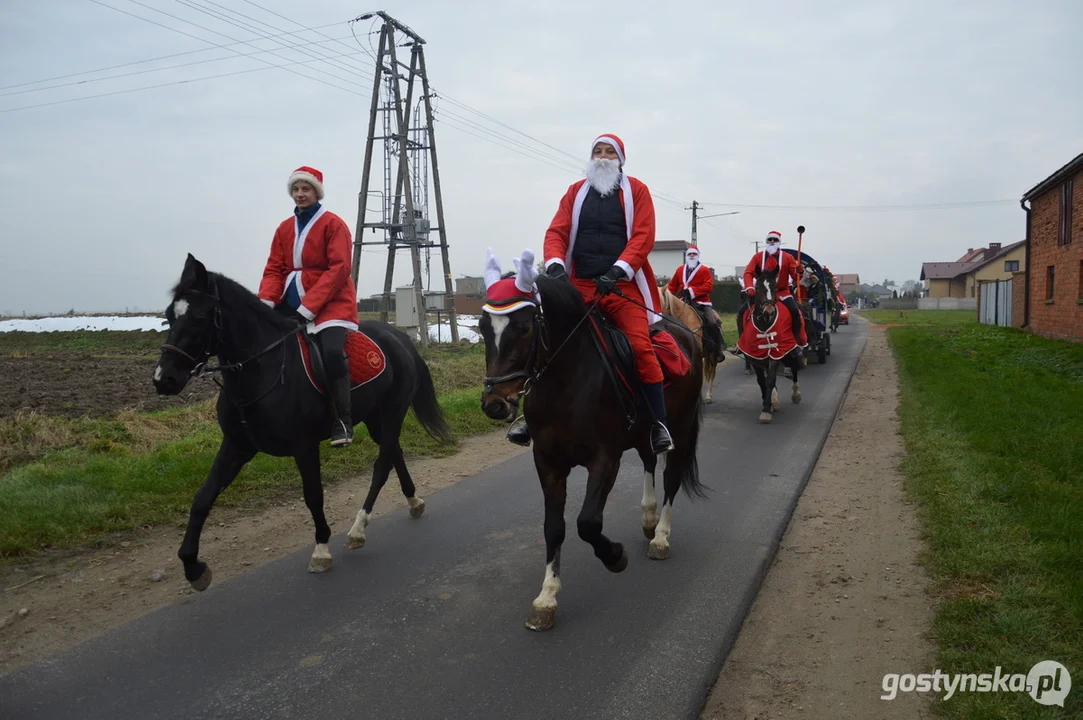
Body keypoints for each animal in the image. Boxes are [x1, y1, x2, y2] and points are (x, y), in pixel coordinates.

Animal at [151, 252, 448, 588]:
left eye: (200, 318)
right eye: (169, 316)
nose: (163, 380)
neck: (261, 370)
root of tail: (400, 338)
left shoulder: (304, 446)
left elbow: (313, 495)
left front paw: (321, 549)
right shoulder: (236, 446)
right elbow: (202, 498)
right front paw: (192, 566)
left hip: (392, 411)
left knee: (382, 464)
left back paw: (359, 528)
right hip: (376, 420)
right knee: (394, 451)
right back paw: (413, 501)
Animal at [483, 266, 710, 632]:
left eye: (523, 327)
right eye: (482, 327)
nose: (494, 404)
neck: (565, 383)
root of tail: (685, 333)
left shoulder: (604, 460)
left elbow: (587, 523)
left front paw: (615, 556)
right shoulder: (547, 462)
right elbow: (554, 527)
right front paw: (546, 598)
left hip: (681, 428)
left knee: (672, 478)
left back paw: (660, 536)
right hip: (642, 432)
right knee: (649, 460)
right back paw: (648, 518)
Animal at [736, 266, 805, 424]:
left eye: (775, 287)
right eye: (757, 287)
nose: (769, 311)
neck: (765, 324)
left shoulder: (776, 354)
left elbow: (770, 379)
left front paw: (767, 409)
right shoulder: (756, 357)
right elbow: (762, 380)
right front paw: (768, 403)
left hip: (789, 351)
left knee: (794, 369)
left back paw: (795, 394)